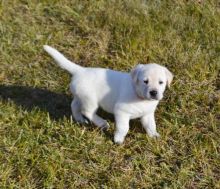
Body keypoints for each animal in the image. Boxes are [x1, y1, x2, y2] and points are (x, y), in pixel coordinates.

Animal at [43, 45, 174, 143]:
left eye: (161, 82)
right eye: (145, 81)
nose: (153, 92)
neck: (139, 96)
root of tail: (81, 70)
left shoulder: (147, 114)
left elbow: (151, 125)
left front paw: (154, 135)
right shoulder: (121, 111)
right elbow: (124, 127)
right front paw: (118, 139)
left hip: (81, 96)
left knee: (74, 106)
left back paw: (80, 119)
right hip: (90, 99)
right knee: (87, 111)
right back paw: (102, 123)